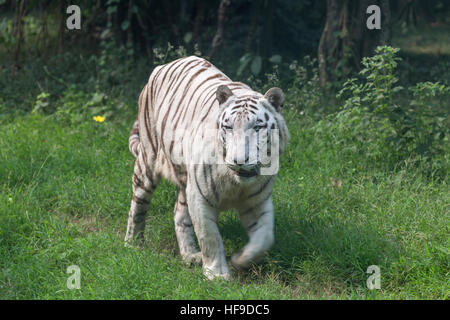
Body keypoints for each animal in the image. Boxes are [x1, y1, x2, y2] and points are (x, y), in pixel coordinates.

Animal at [125, 55, 290, 280]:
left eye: (257, 127)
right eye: (228, 127)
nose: (239, 160)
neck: (236, 183)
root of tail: (163, 65)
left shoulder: (258, 201)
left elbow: (264, 237)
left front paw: (240, 259)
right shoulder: (199, 196)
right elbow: (210, 237)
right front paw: (217, 275)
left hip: (185, 181)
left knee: (178, 212)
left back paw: (190, 255)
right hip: (148, 161)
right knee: (138, 204)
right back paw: (133, 245)